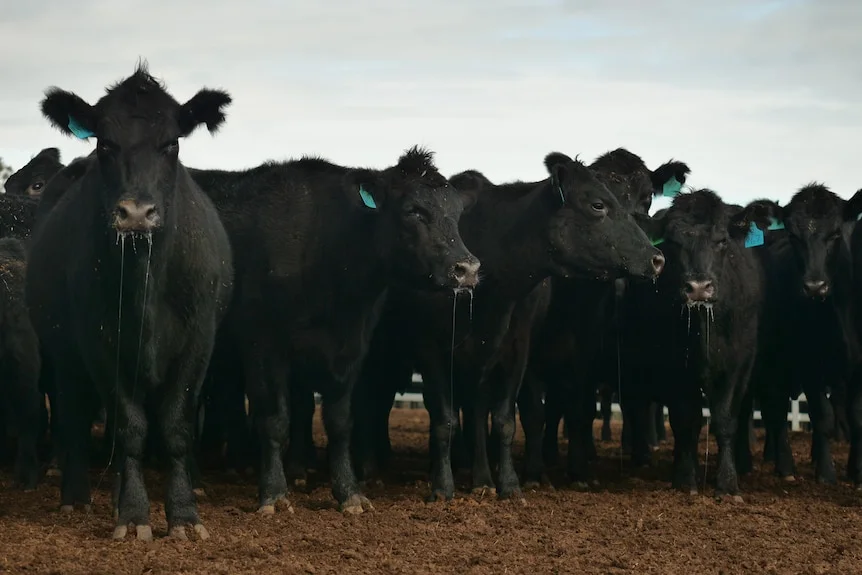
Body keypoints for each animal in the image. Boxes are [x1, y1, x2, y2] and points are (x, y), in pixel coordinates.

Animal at [26, 63, 234, 541]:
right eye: (105, 142)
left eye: (172, 142)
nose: (137, 213)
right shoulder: (101, 344)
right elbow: (128, 426)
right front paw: (135, 514)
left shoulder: (198, 345)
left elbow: (175, 428)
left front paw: (184, 515)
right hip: (65, 358)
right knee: (75, 418)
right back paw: (77, 496)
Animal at [188, 145, 480, 515]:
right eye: (413, 211)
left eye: (456, 213)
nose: (466, 268)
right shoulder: (262, 345)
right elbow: (274, 419)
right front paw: (274, 493)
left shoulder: (351, 347)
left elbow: (340, 422)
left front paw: (348, 492)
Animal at [630, 189, 766, 498]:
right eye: (673, 242)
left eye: (722, 240)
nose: (699, 287)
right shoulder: (673, 367)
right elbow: (684, 422)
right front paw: (684, 478)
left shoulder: (738, 364)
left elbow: (725, 421)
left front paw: (727, 483)